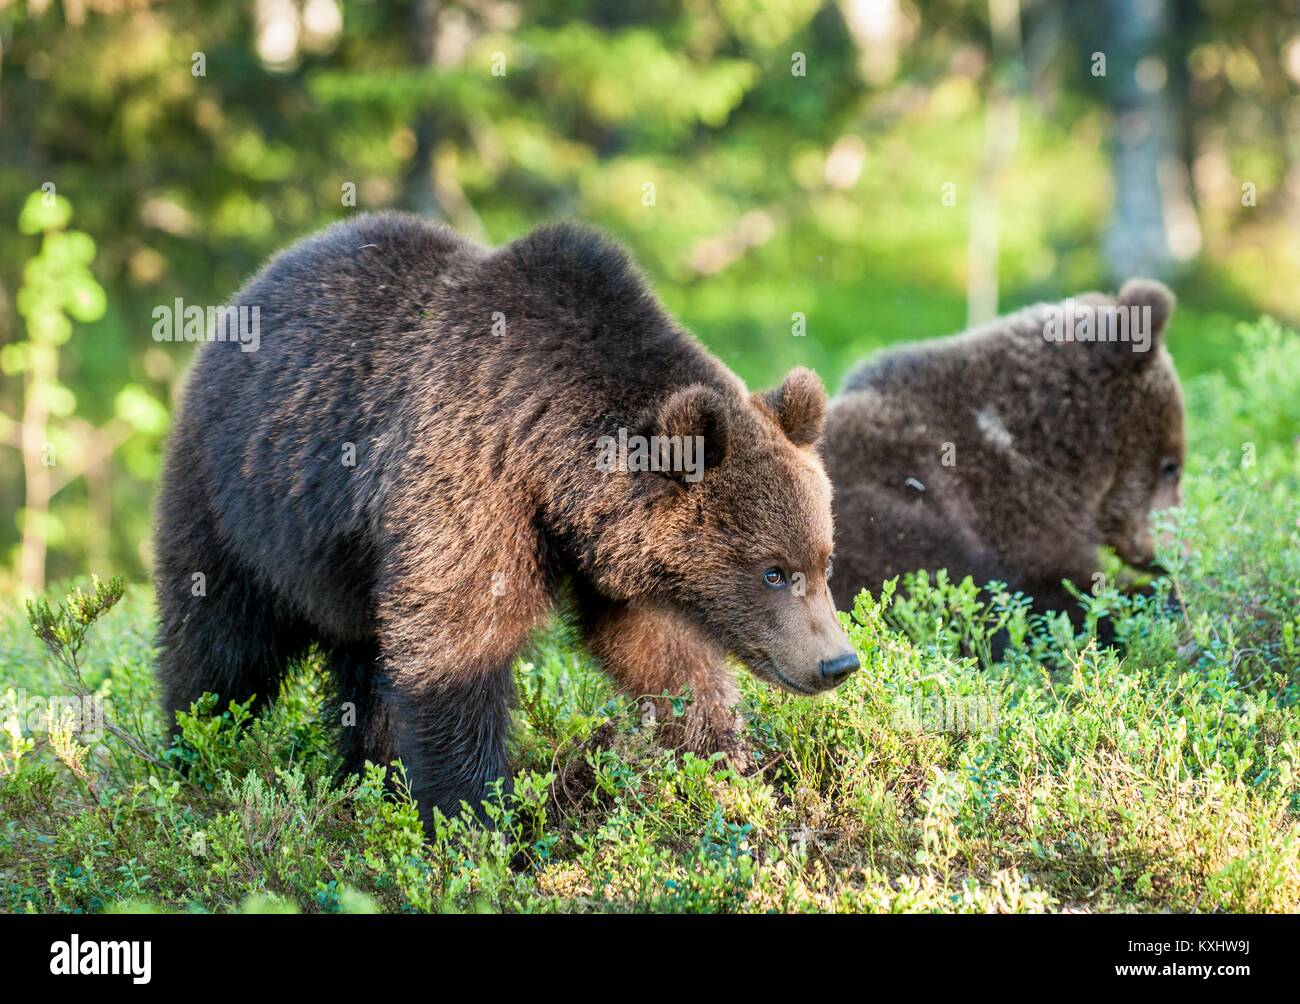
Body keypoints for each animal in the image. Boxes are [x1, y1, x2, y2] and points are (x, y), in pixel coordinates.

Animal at [153, 212, 859, 826]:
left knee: (364, 669)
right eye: (772, 571)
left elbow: (660, 653)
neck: (551, 462)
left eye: (823, 560)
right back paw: (194, 751)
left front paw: (730, 763)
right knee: (220, 643)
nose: (838, 662)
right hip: (234, 500)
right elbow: (454, 643)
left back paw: (370, 775)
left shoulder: (612, 555)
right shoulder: (469, 481)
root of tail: (249, 291)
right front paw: (476, 813)